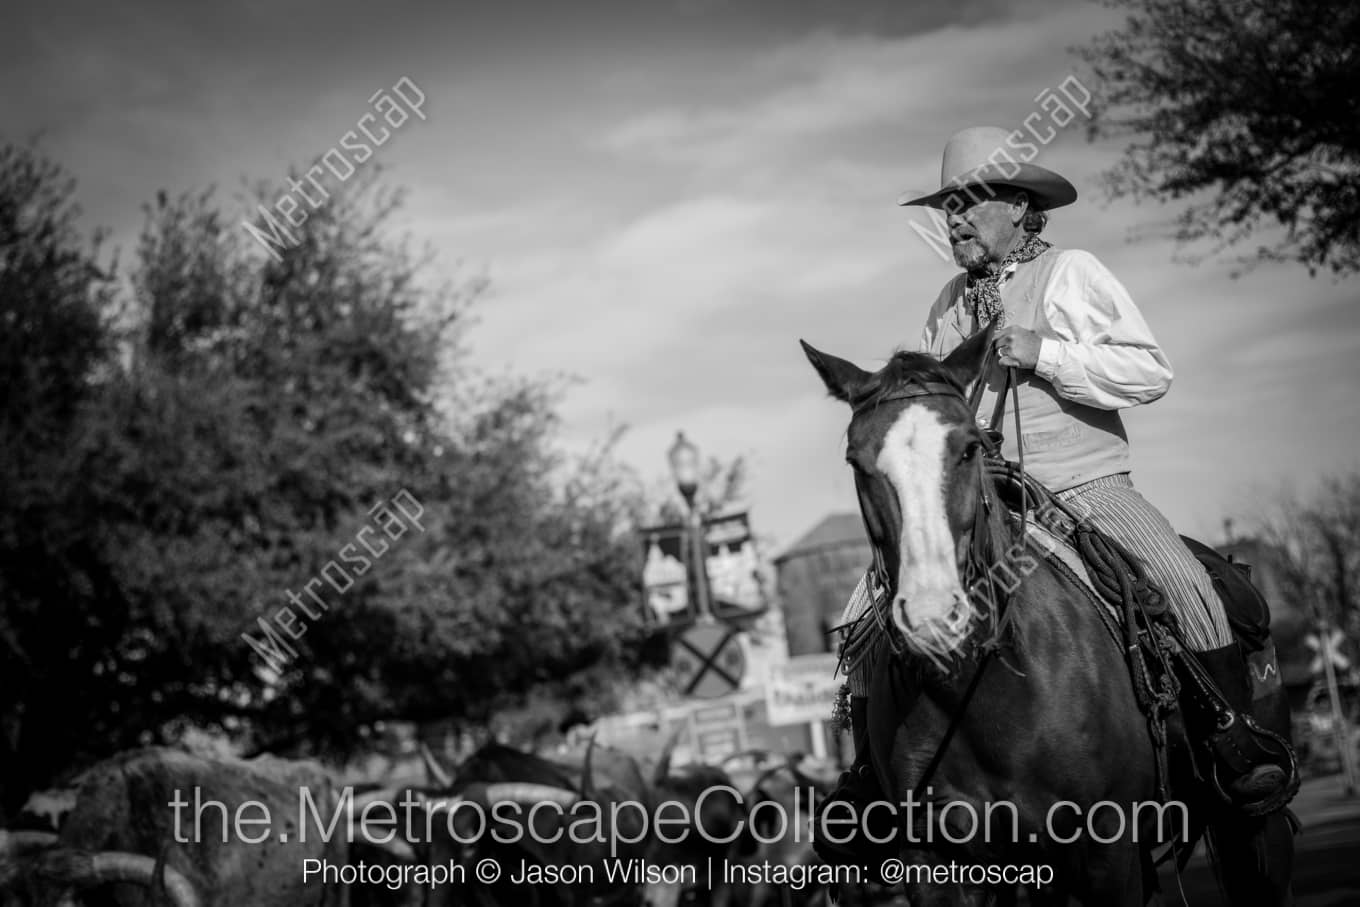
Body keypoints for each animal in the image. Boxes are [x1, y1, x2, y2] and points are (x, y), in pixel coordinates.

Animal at [799, 327, 1300, 907]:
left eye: (969, 448)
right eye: (856, 461)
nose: (931, 616)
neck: (985, 691)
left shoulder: (1107, 853)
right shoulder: (938, 860)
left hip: (1253, 825)